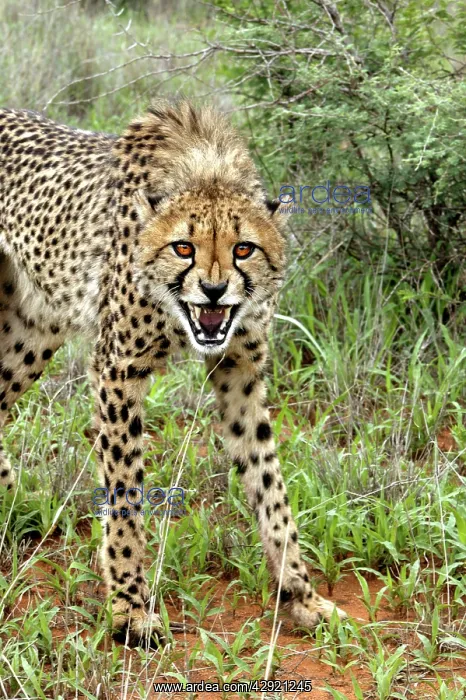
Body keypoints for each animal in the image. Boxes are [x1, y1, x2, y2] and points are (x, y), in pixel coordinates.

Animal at [0, 100, 347, 647]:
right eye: (184, 247)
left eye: (244, 249)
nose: (213, 290)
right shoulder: (119, 368)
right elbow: (125, 494)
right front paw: (130, 610)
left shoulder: (240, 371)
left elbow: (270, 483)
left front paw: (301, 594)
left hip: (32, 330)